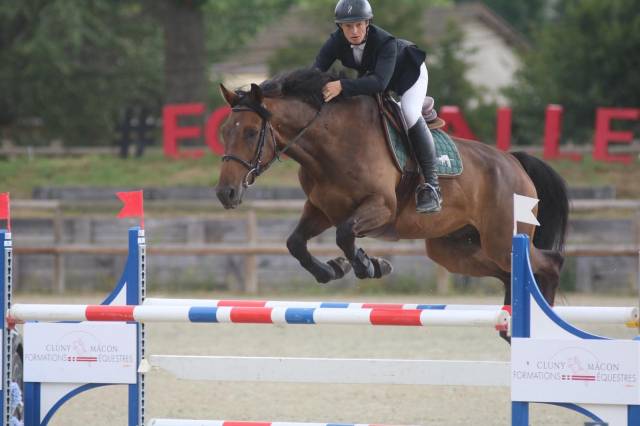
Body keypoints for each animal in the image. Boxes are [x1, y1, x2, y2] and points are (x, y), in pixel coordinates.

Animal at [215, 68, 569, 320]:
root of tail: (514, 162)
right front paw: (334, 269)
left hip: (500, 238)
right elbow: (296, 243)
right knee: (510, 274)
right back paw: (510, 326)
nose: (225, 193)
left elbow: (345, 235)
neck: (332, 143)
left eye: (251, 133)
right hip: (454, 248)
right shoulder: (321, 209)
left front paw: (369, 265)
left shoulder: (380, 208)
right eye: (224, 132)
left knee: (548, 264)